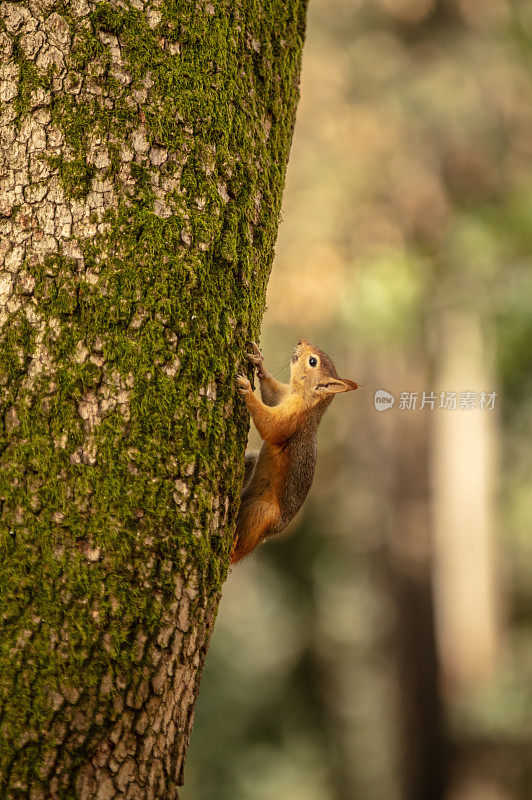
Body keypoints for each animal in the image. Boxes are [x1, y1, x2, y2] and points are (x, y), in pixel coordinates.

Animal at [232, 338, 360, 564]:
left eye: (312, 361)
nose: (302, 341)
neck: (305, 397)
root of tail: (271, 532)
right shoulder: (281, 396)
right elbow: (271, 394)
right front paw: (259, 362)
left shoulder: (294, 419)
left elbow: (271, 427)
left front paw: (247, 390)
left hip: (261, 511)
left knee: (241, 544)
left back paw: (232, 545)